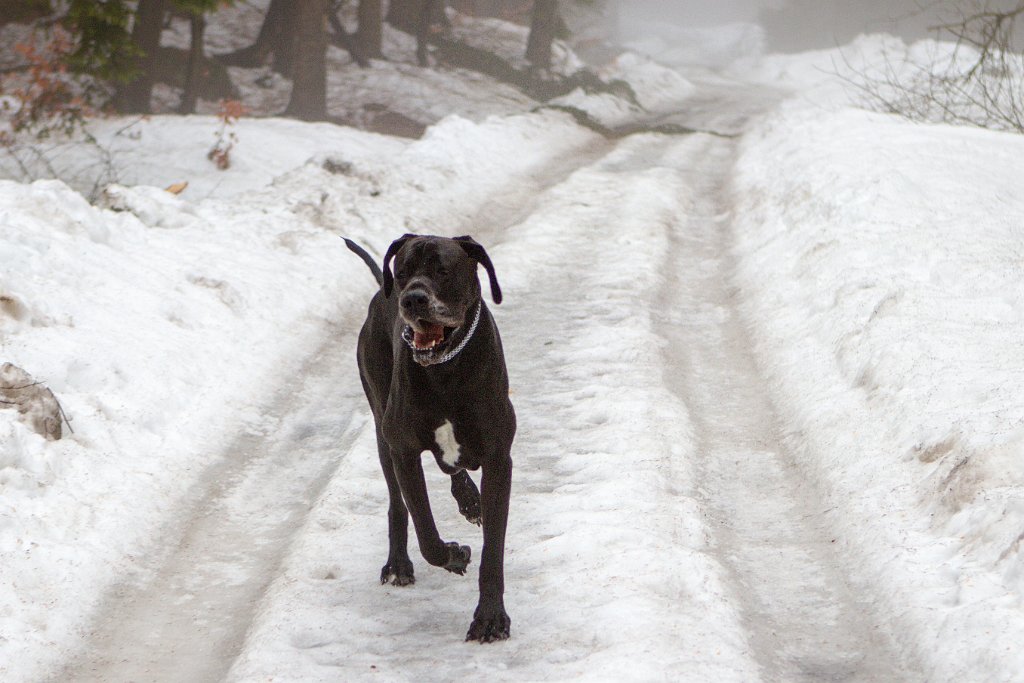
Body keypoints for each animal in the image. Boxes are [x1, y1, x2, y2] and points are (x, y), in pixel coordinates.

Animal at [346, 233, 520, 643]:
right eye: (403, 270)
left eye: (443, 270)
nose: (412, 299)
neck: (446, 369)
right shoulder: (404, 451)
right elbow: (426, 532)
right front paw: (455, 555)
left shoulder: (498, 458)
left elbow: (493, 551)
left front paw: (490, 618)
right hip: (382, 430)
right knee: (398, 504)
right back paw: (398, 563)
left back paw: (470, 500)